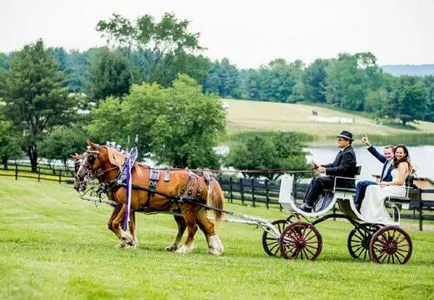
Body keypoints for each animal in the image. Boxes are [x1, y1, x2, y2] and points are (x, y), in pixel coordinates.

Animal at [74, 141, 225, 255]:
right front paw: (128, 242)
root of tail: (200, 177)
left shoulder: (127, 205)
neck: (123, 174)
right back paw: (214, 249)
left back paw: (184, 249)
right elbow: (119, 224)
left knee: (192, 228)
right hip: (196, 209)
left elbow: (116, 224)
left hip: (187, 209)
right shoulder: (120, 205)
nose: (79, 176)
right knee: (207, 227)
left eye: (90, 158)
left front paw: (127, 239)